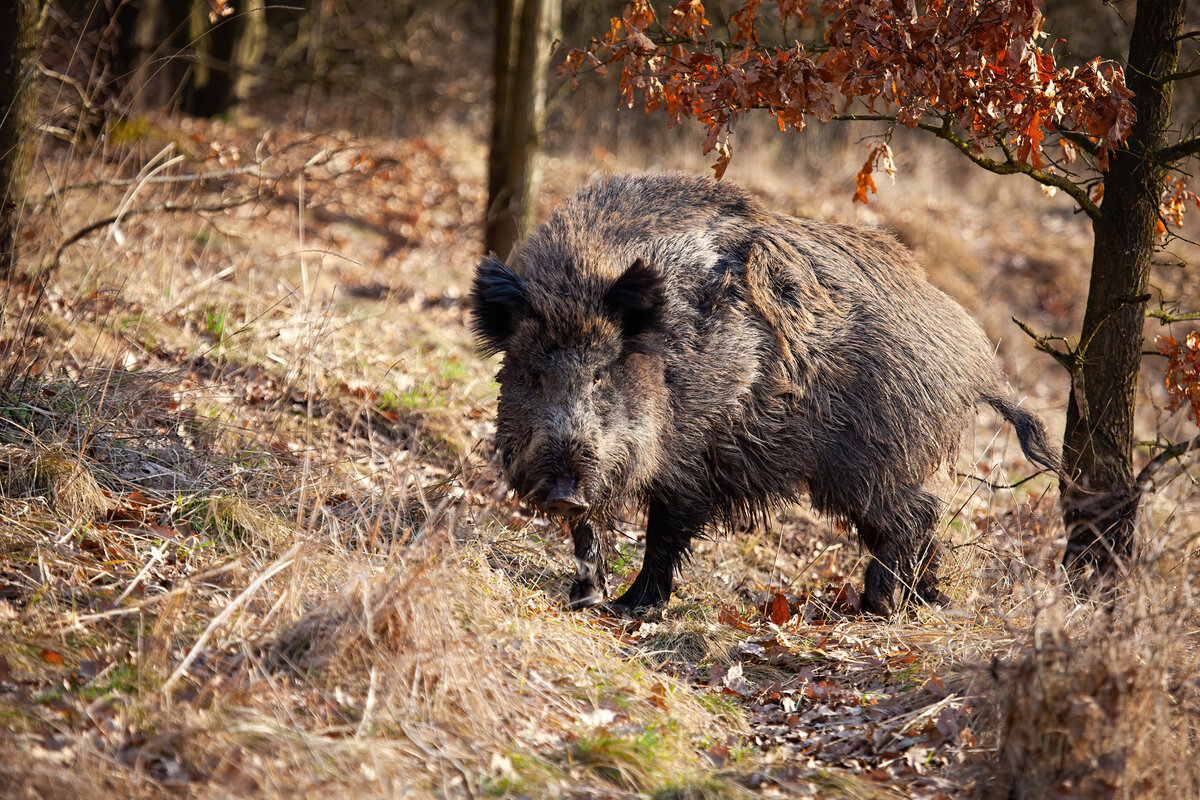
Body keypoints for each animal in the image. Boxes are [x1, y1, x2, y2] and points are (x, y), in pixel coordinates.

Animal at [470, 172, 1058, 616]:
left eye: (600, 376)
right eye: (533, 375)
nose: (561, 490)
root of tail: (978, 361)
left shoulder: (689, 456)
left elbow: (663, 530)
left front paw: (631, 607)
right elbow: (590, 527)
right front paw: (585, 599)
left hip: (875, 463)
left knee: (916, 517)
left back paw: (877, 605)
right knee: (923, 520)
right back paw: (921, 602)